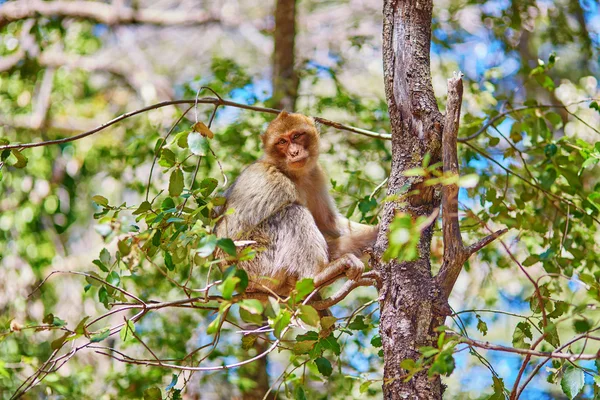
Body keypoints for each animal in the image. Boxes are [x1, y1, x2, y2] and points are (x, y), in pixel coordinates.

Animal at [213, 111, 378, 298]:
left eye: (297, 136)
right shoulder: (276, 181)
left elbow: (328, 223)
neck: (292, 173)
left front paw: (379, 230)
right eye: (282, 142)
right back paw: (317, 276)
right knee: (292, 212)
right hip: (255, 266)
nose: (294, 152)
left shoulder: (315, 174)